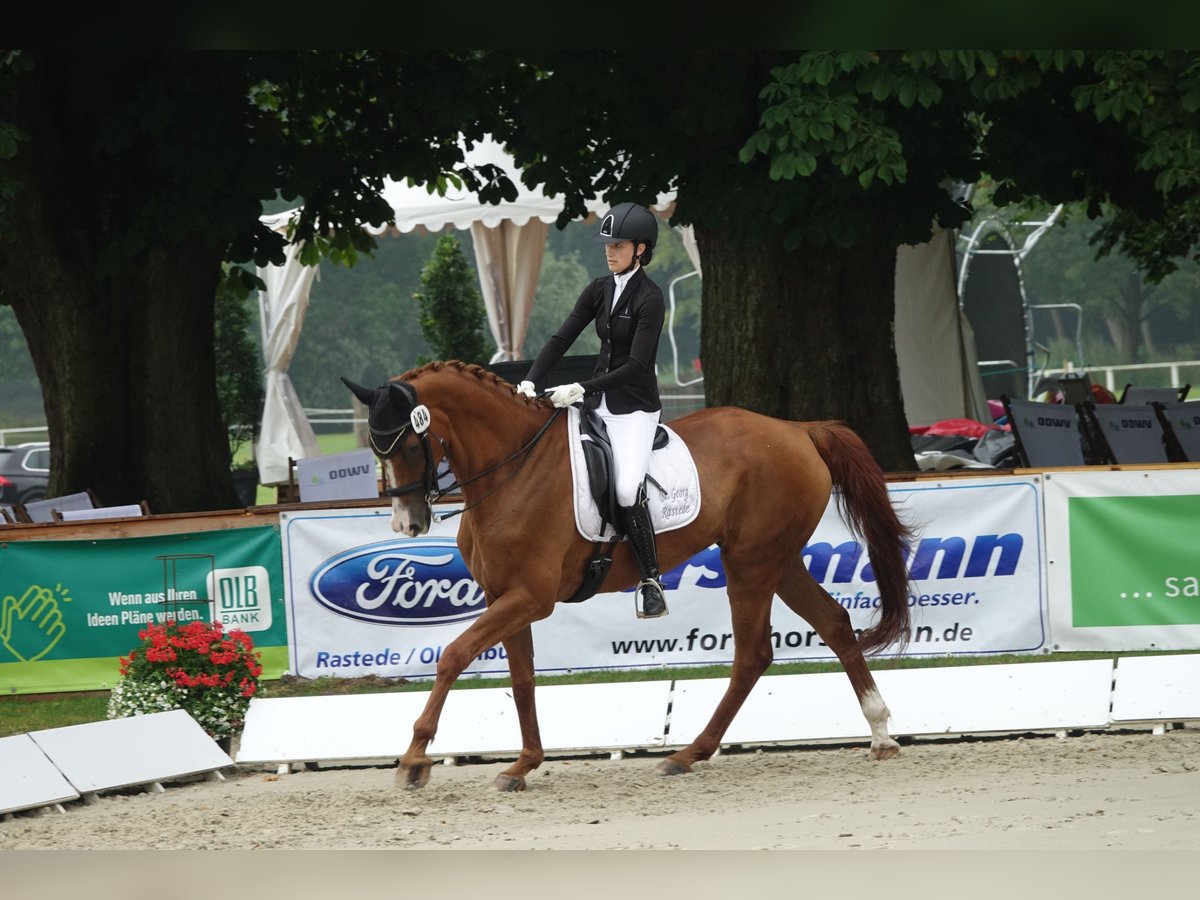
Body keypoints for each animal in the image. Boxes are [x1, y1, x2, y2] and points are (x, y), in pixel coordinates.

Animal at [343, 362, 912, 792]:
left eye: (408, 445)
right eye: (375, 449)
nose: (408, 525)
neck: (514, 469)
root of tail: (797, 429)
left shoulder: (530, 597)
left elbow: (453, 655)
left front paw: (414, 758)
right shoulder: (505, 597)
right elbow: (522, 679)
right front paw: (523, 763)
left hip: (750, 563)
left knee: (753, 655)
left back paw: (687, 753)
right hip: (777, 559)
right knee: (833, 623)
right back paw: (881, 733)